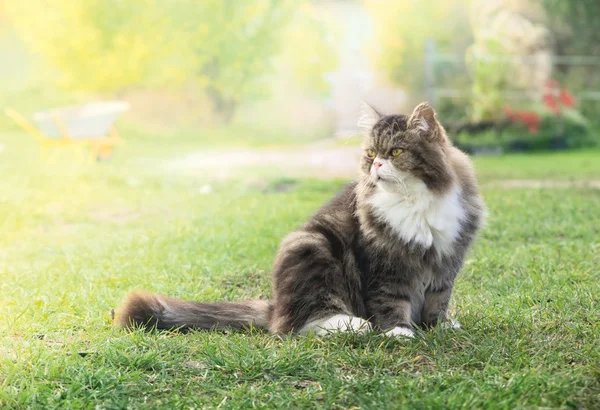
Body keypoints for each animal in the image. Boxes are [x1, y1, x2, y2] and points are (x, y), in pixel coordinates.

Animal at [115, 101, 486, 338]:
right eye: (370, 154)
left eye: (395, 152)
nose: (377, 165)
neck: (415, 201)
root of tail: (276, 306)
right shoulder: (386, 263)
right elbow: (391, 299)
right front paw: (398, 331)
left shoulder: (447, 258)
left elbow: (439, 299)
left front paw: (438, 326)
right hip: (313, 246)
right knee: (298, 325)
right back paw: (355, 326)